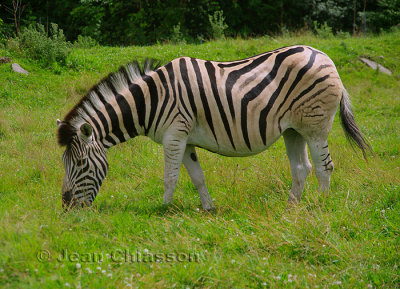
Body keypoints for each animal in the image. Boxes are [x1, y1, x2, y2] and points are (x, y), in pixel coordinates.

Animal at [56, 46, 368, 210]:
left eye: (81, 163)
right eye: (65, 163)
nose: (67, 206)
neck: (151, 99)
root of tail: (324, 55)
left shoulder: (174, 136)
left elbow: (170, 177)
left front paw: (164, 210)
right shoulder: (185, 140)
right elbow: (197, 177)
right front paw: (208, 209)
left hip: (315, 126)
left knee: (324, 166)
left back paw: (321, 205)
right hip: (293, 129)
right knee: (302, 167)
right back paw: (292, 205)